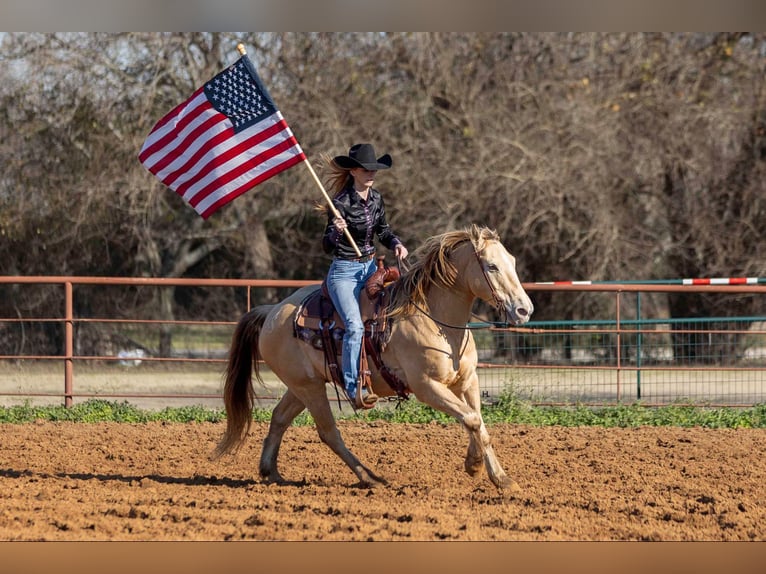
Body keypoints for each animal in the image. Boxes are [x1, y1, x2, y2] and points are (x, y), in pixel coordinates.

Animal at [210, 225, 536, 490]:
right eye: (491, 266)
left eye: (513, 262)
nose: (524, 309)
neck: (434, 318)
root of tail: (272, 312)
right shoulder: (427, 386)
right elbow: (471, 419)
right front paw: (474, 465)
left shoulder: (467, 381)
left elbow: (479, 423)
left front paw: (500, 478)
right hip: (309, 388)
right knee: (328, 432)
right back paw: (370, 477)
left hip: (302, 385)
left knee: (279, 418)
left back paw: (271, 472)